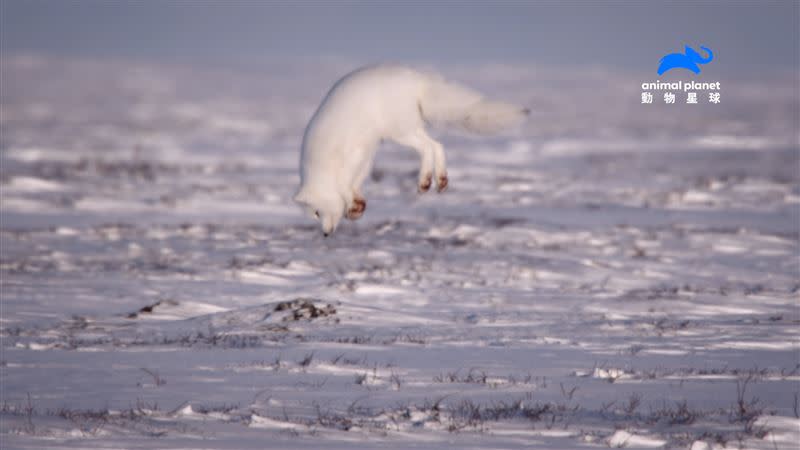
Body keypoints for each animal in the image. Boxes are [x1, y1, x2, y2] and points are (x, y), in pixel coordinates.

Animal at [290, 66, 528, 239]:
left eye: (316, 212)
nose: (325, 234)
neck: (320, 167)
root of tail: (415, 79)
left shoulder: (352, 155)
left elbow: (345, 185)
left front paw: (351, 202)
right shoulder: (364, 158)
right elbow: (355, 184)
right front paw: (356, 207)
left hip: (400, 131)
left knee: (428, 146)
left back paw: (424, 180)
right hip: (408, 129)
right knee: (437, 144)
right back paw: (439, 180)